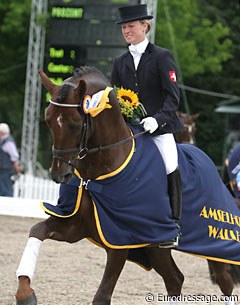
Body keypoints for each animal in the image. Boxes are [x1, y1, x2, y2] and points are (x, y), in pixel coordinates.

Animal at [15, 66, 238, 304]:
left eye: (75, 124)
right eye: (48, 121)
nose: (59, 174)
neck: (95, 174)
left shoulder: (121, 237)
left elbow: (102, 296)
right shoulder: (76, 225)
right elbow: (37, 230)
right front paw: (25, 293)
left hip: (214, 243)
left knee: (224, 281)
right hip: (156, 248)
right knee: (175, 279)